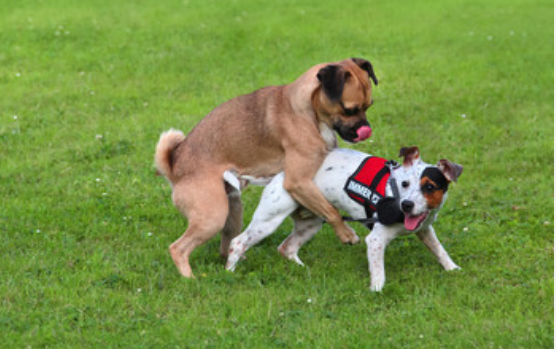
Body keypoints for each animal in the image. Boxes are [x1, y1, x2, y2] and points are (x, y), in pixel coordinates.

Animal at [156, 57, 378, 276]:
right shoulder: (297, 181)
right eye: (349, 109)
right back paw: (191, 279)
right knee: (178, 248)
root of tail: (174, 166)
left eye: (369, 106)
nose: (366, 129)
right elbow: (331, 211)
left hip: (232, 209)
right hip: (212, 216)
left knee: (228, 244)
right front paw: (346, 233)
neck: (307, 110)